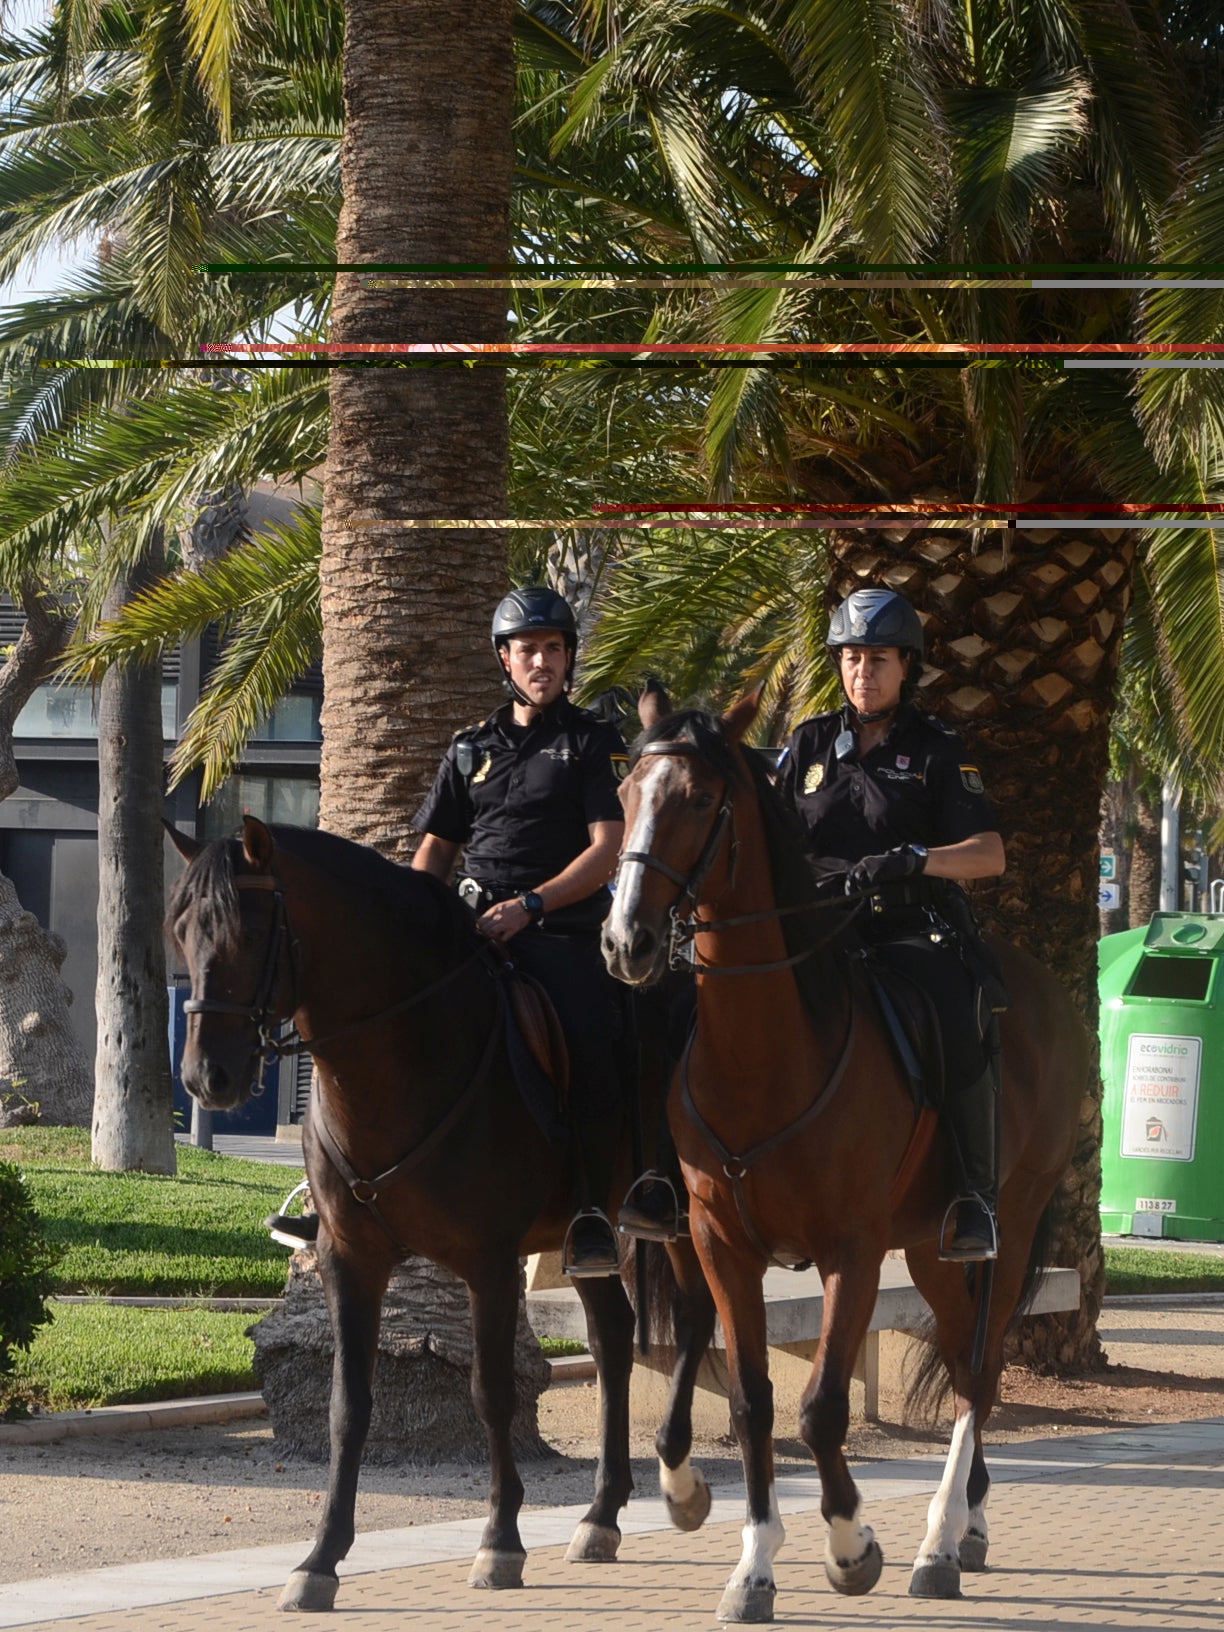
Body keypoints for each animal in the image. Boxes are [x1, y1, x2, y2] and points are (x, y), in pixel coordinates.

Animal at [164, 822, 718, 1612]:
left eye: (250, 928)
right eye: (180, 929)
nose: (206, 1077)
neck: (405, 1053)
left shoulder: (489, 1264)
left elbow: (492, 1393)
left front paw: (500, 1542)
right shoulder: (350, 1261)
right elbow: (348, 1405)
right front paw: (320, 1558)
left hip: (681, 1215)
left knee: (697, 1317)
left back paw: (676, 1474)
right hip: (592, 1234)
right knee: (614, 1334)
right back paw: (602, 1514)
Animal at [603, 695, 1090, 1625]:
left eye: (698, 800)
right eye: (625, 792)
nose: (625, 941)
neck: (767, 1056)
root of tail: (1044, 986)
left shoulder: (851, 1252)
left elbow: (823, 1407)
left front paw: (849, 1546)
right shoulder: (722, 1246)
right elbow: (753, 1401)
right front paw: (754, 1564)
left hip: (1003, 1227)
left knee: (979, 1372)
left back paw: (939, 1541)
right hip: (930, 1247)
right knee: (967, 1359)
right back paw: (968, 1526)